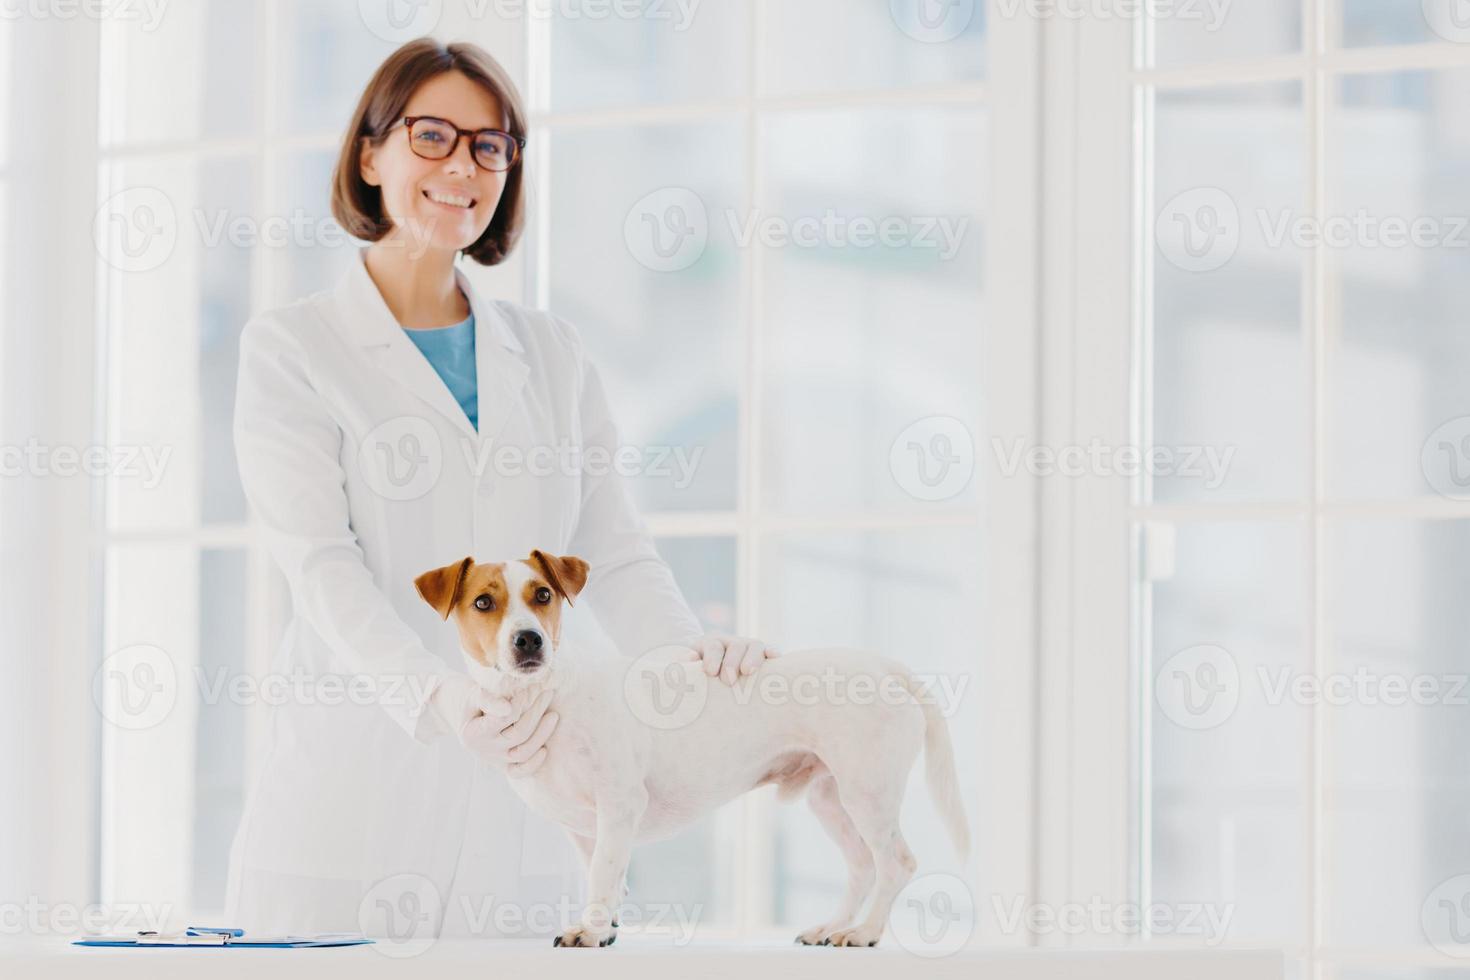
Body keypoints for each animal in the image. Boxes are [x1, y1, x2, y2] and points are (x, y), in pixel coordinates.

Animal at [414, 549, 970, 946]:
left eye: (543, 594)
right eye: (483, 603)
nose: (529, 640)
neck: (548, 693)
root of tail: (886, 667)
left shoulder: (619, 805)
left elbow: (603, 874)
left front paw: (589, 931)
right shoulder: (586, 827)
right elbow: (605, 873)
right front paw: (605, 925)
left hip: (867, 792)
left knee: (896, 863)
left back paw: (865, 932)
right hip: (830, 799)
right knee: (861, 865)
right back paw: (833, 926)